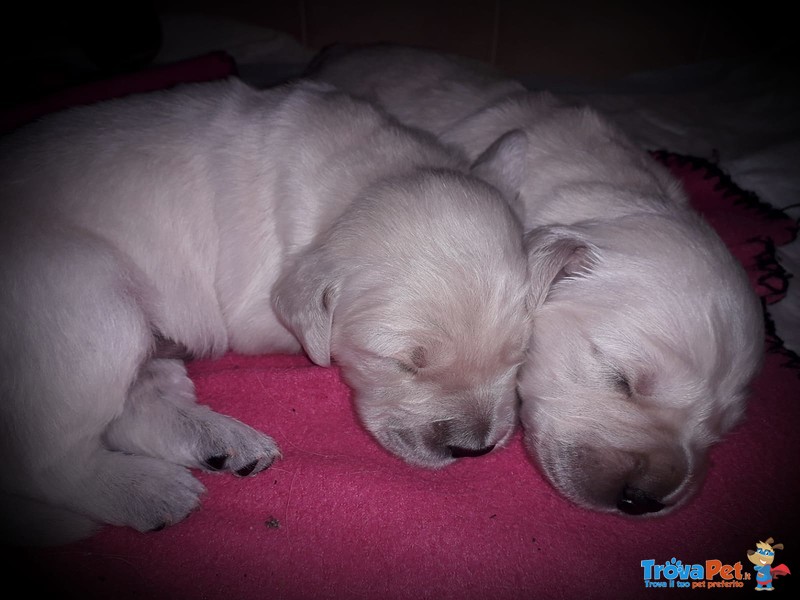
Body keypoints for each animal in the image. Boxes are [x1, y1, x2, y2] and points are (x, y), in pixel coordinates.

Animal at [1, 76, 536, 544]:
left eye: (516, 358)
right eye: (403, 364)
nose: (475, 449)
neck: (363, 184)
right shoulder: (254, 308)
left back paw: (220, 442)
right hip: (92, 301)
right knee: (50, 461)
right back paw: (150, 490)